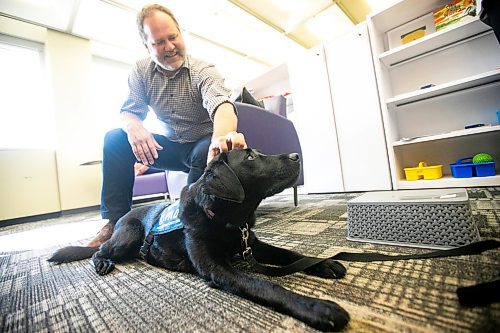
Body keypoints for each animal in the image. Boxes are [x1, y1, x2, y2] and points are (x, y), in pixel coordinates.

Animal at [49, 150, 348, 330]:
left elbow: (290, 254)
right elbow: (265, 285)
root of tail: (125, 215)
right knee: (99, 250)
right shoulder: (217, 268)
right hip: (128, 235)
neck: (227, 219)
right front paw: (316, 307)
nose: (297, 155)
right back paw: (103, 262)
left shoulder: (253, 245)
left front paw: (325, 263)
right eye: (251, 156)